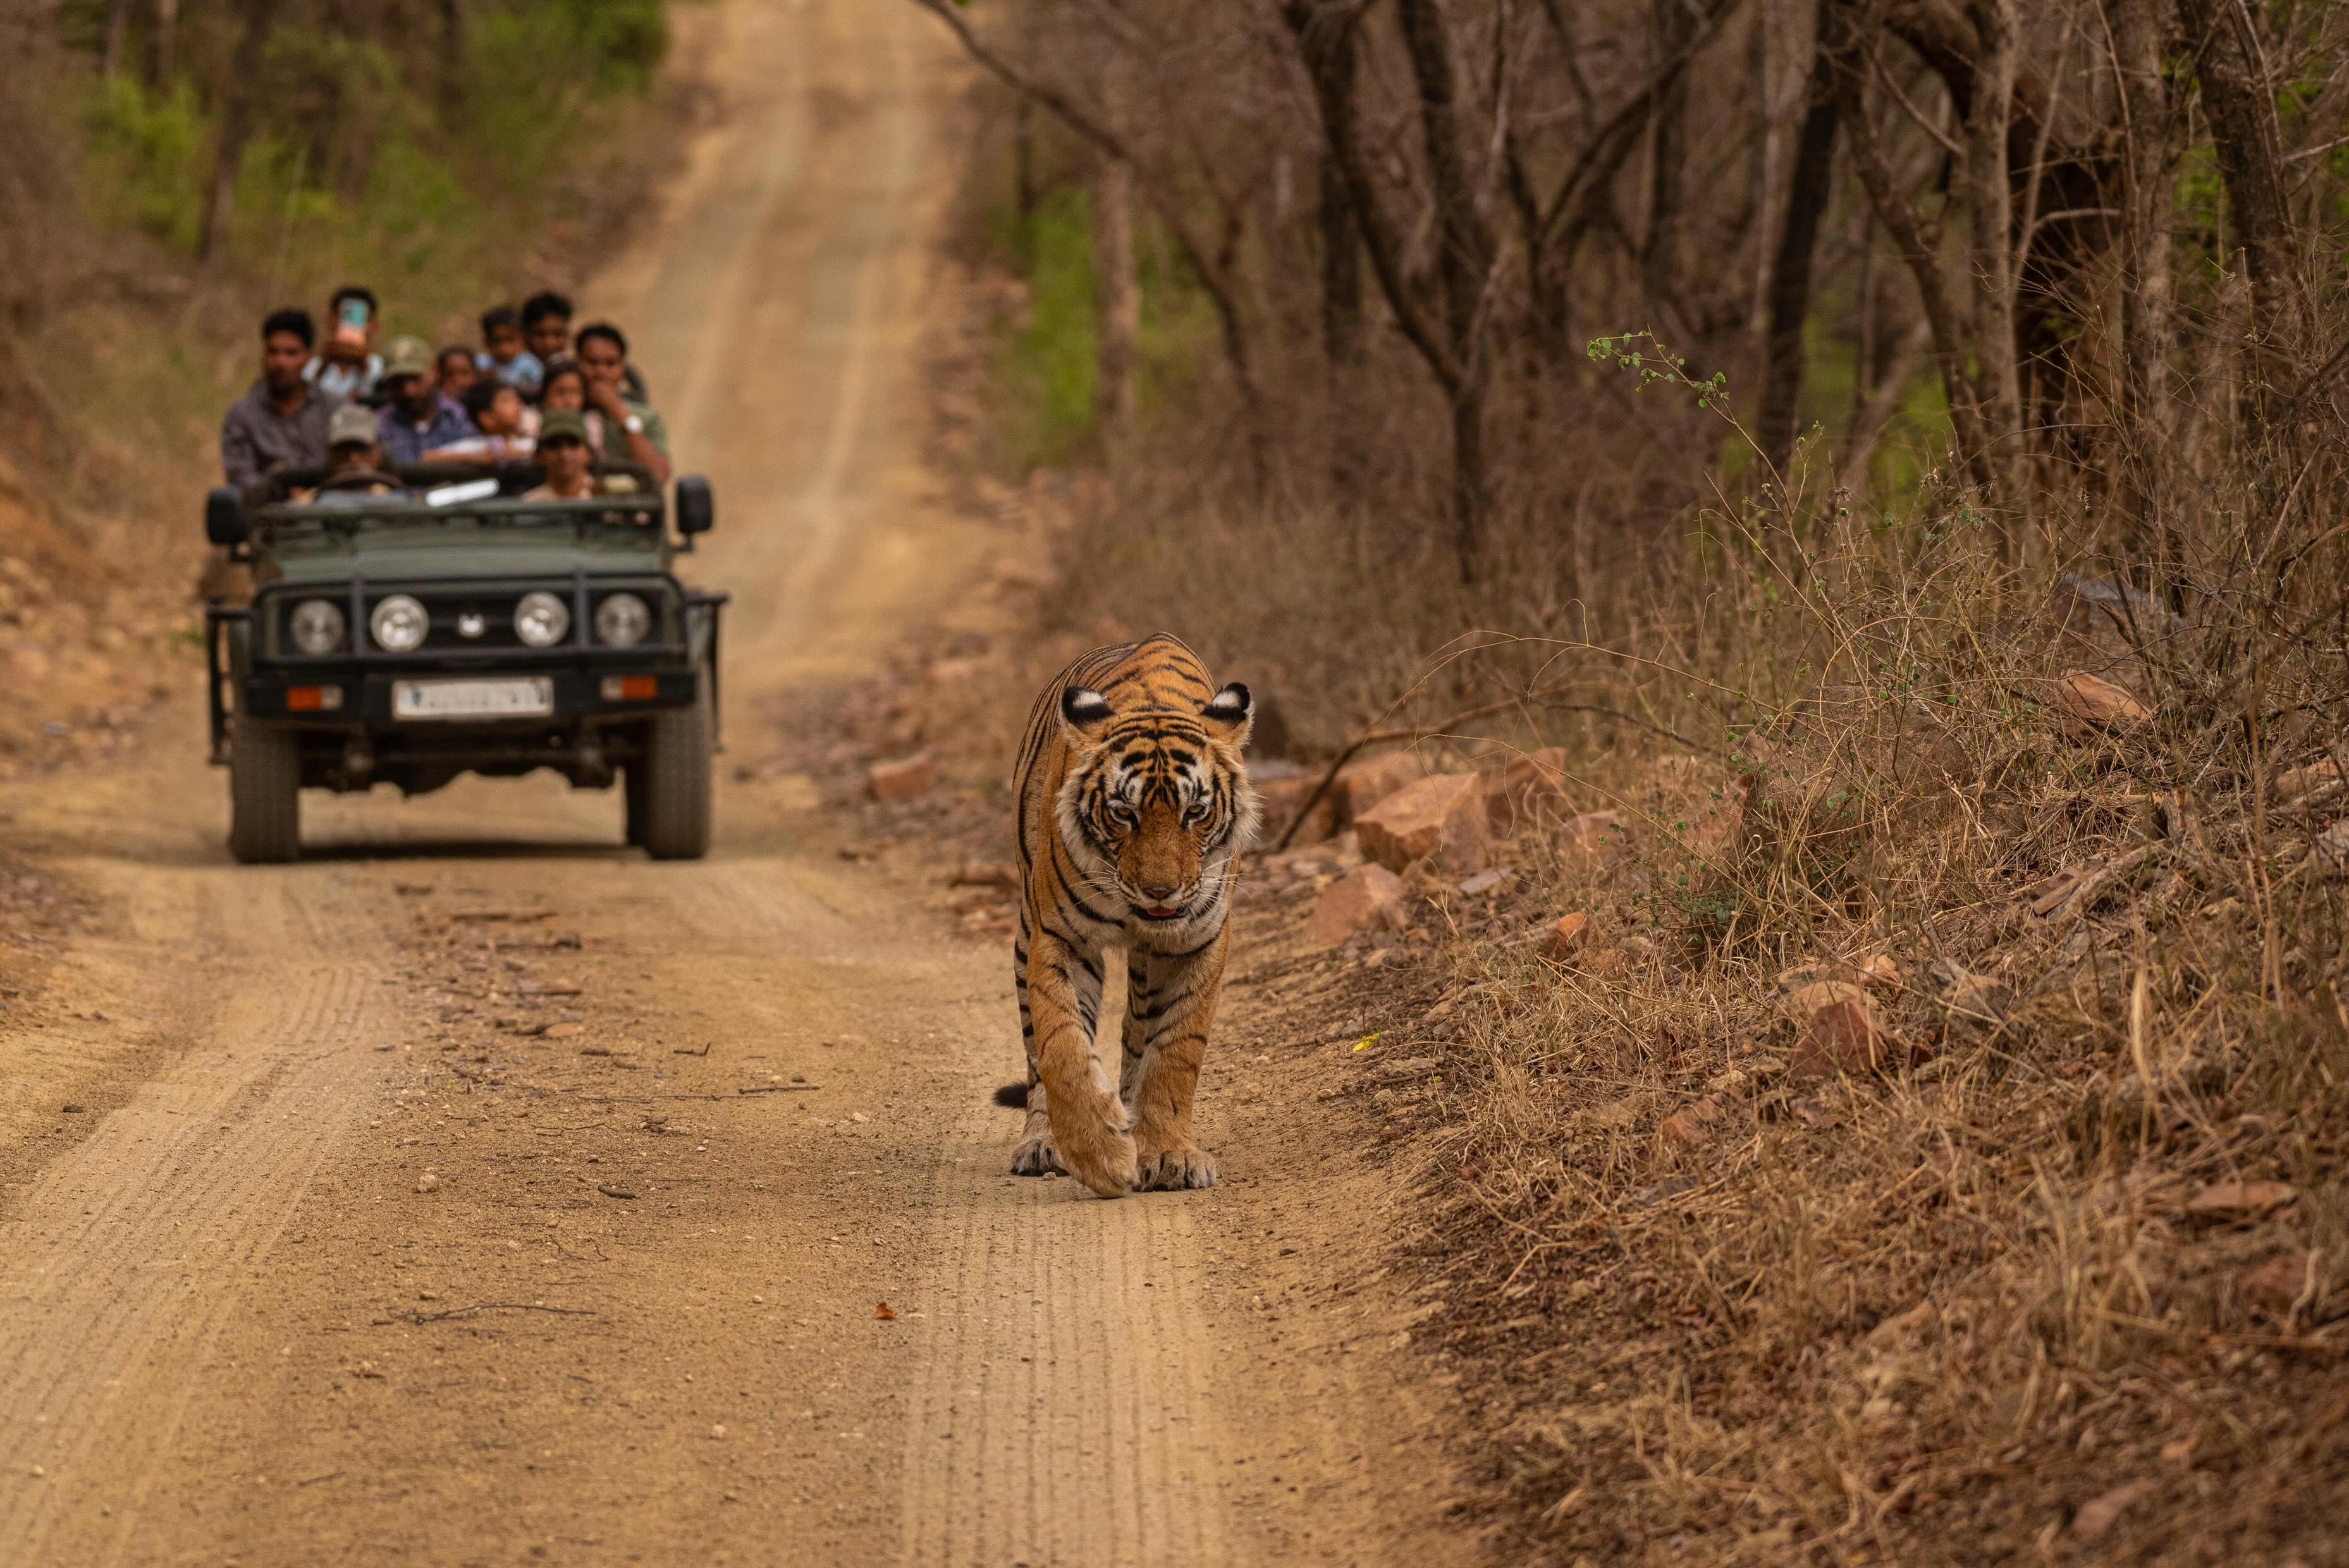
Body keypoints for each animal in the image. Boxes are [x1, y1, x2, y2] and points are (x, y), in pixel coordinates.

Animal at [992, 634, 1259, 1197]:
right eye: (1123, 813)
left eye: (1195, 812)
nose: (1160, 892)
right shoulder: (1061, 938)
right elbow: (1062, 1046)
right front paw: (1100, 1156)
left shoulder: (1198, 942)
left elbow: (1175, 1052)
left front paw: (1170, 1155)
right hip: (1026, 932)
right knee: (1036, 1057)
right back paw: (1042, 1143)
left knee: (1138, 1032)